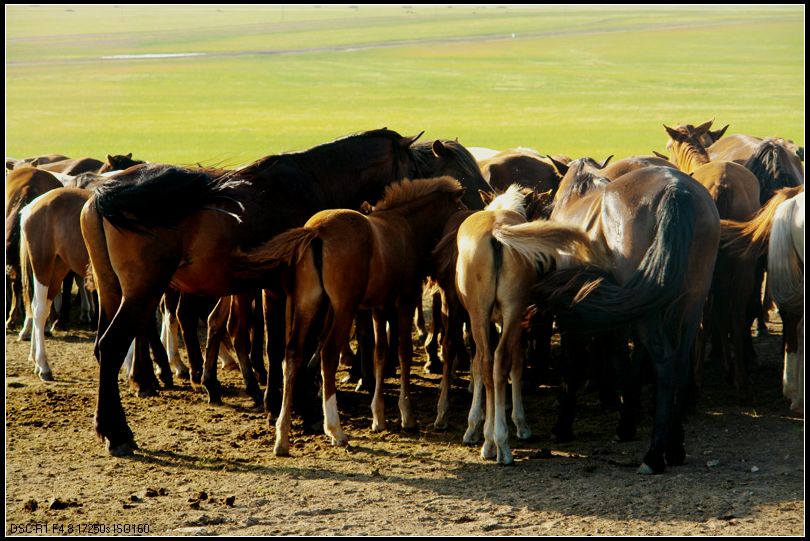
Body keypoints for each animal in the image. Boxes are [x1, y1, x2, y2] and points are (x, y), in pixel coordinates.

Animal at [230, 177, 464, 456]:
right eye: (459, 206)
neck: (404, 226)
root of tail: (316, 231)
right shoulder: (405, 300)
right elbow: (403, 352)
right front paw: (406, 416)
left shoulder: (379, 306)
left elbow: (380, 352)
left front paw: (379, 417)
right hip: (342, 309)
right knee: (328, 354)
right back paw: (335, 430)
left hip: (309, 305)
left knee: (293, 355)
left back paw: (282, 435)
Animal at [454, 184, 600, 462]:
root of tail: (496, 231)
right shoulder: (516, 321)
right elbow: (516, 365)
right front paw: (519, 424)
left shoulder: (484, 319)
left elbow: (478, 365)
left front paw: (473, 428)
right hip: (512, 311)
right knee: (502, 361)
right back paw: (501, 443)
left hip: (480, 313)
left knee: (488, 362)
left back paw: (490, 442)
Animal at [532, 160, 720, 472]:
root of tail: (676, 190)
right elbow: (625, 363)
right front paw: (626, 421)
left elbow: (575, 365)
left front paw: (563, 426)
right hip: (690, 303)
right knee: (680, 363)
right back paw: (674, 446)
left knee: (665, 362)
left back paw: (654, 455)